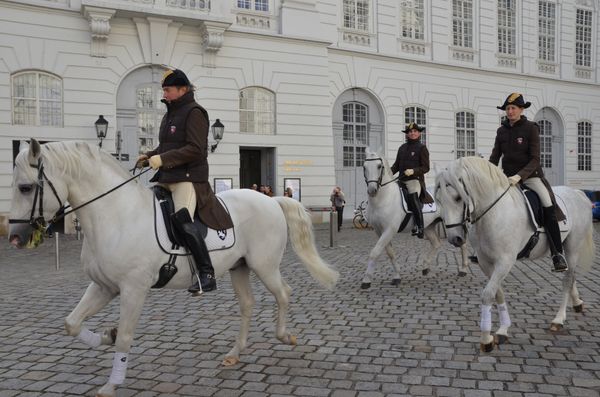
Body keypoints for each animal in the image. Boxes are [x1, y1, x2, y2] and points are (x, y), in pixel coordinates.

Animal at [8, 140, 338, 396]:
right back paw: (234, 354)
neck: (116, 215)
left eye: (25, 188)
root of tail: (270, 199)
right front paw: (106, 336)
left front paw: (111, 384)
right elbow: (72, 323)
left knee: (284, 293)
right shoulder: (104, 286)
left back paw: (285, 336)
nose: (14, 238)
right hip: (240, 267)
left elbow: (126, 336)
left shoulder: (133, 289)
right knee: (248, 304)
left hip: (264, 265)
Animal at [358, 148, 472, 288]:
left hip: (454, 224)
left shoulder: (390, 230)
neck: (383, 199)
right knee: (436, 243)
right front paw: (397, 276)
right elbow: (390, 253)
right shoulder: (379, 231)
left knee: (462, 242)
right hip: (429, 226)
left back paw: (463, 269)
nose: (372, 190)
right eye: (364, 166)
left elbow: (375, 252)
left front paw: (366, 280)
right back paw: (426, 267)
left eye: (379, 166)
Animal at [436, 156, 596, 352]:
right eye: (439, 200)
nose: (455, 238)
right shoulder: (485, 262)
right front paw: (503, 330)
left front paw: (486, 339)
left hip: (572, 248)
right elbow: (498, 293)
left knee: (567, 279)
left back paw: (558, 319)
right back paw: (577, 303)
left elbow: (488, 294)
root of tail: (578, 193)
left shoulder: (505, 261)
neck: (493, 213)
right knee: (571, 277)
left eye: (458, 198)